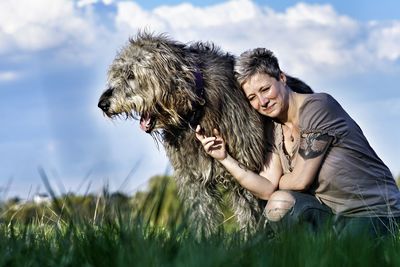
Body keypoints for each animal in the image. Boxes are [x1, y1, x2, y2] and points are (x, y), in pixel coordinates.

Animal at [98, 32, 272, 234]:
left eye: (131, 74)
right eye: (117, 74)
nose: (102, 104)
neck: (196, 108)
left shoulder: (246, 169)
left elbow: (251, 213)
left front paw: (253, 238)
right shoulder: (193, 178)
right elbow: (202, 213)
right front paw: (205, 238)